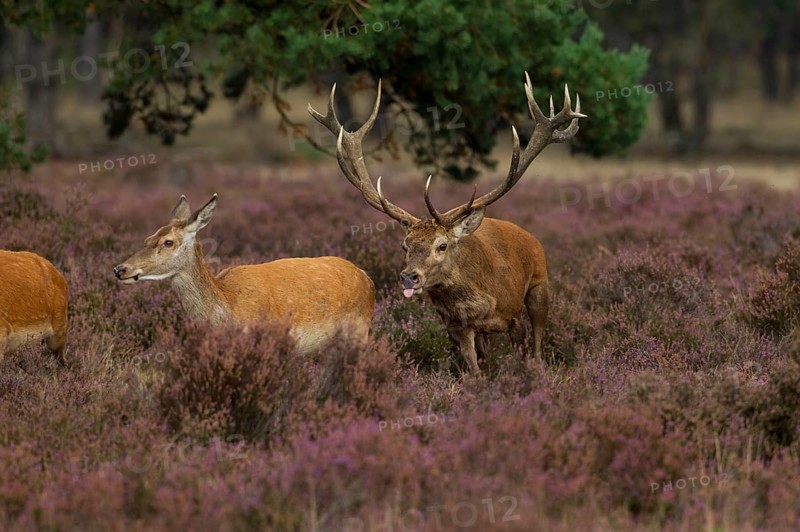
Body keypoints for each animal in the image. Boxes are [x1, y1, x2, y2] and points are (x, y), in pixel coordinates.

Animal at [113, 194, 376, 354]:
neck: (229, 307)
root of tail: (368, 278)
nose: (120, 269)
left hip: (359, 331)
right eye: (148, 238)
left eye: (168, 242)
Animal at [309, 72, 585, 373]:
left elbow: (527, 352)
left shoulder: (513, 315)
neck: (480, 301)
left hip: (540, 287)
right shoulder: (456, 326)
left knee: (538, 337)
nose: (409, 276)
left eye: (442, 245)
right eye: (405, 246)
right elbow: (474, 370)